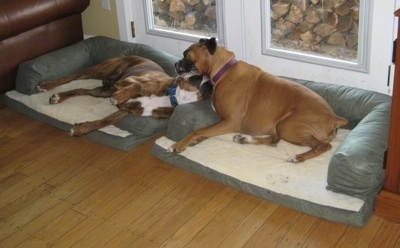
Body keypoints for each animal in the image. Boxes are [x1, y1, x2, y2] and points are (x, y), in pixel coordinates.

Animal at [36, 55, 212, 137]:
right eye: (197, 75)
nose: (209, 79)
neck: (172, 95)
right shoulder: (128, 81)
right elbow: (137, 85)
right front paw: (119, 96)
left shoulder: (125, 110)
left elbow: (103, 122)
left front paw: (81, 129)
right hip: (100, 70)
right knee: (72, 76)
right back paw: (46, 86)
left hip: (102, 91)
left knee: (80, 89)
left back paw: (58, 96)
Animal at [170, 37, 348, 163]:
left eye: (186, 53)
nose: (175, 63)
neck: (224, 71)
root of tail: (334, 117)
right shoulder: (222, 122)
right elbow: (205, 131)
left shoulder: (230, 122)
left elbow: (198, 130)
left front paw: (180, 144)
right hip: (280, 127)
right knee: (274, 140)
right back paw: (244, 138)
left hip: (287, 126)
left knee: (323, 145)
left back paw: (298, 157)